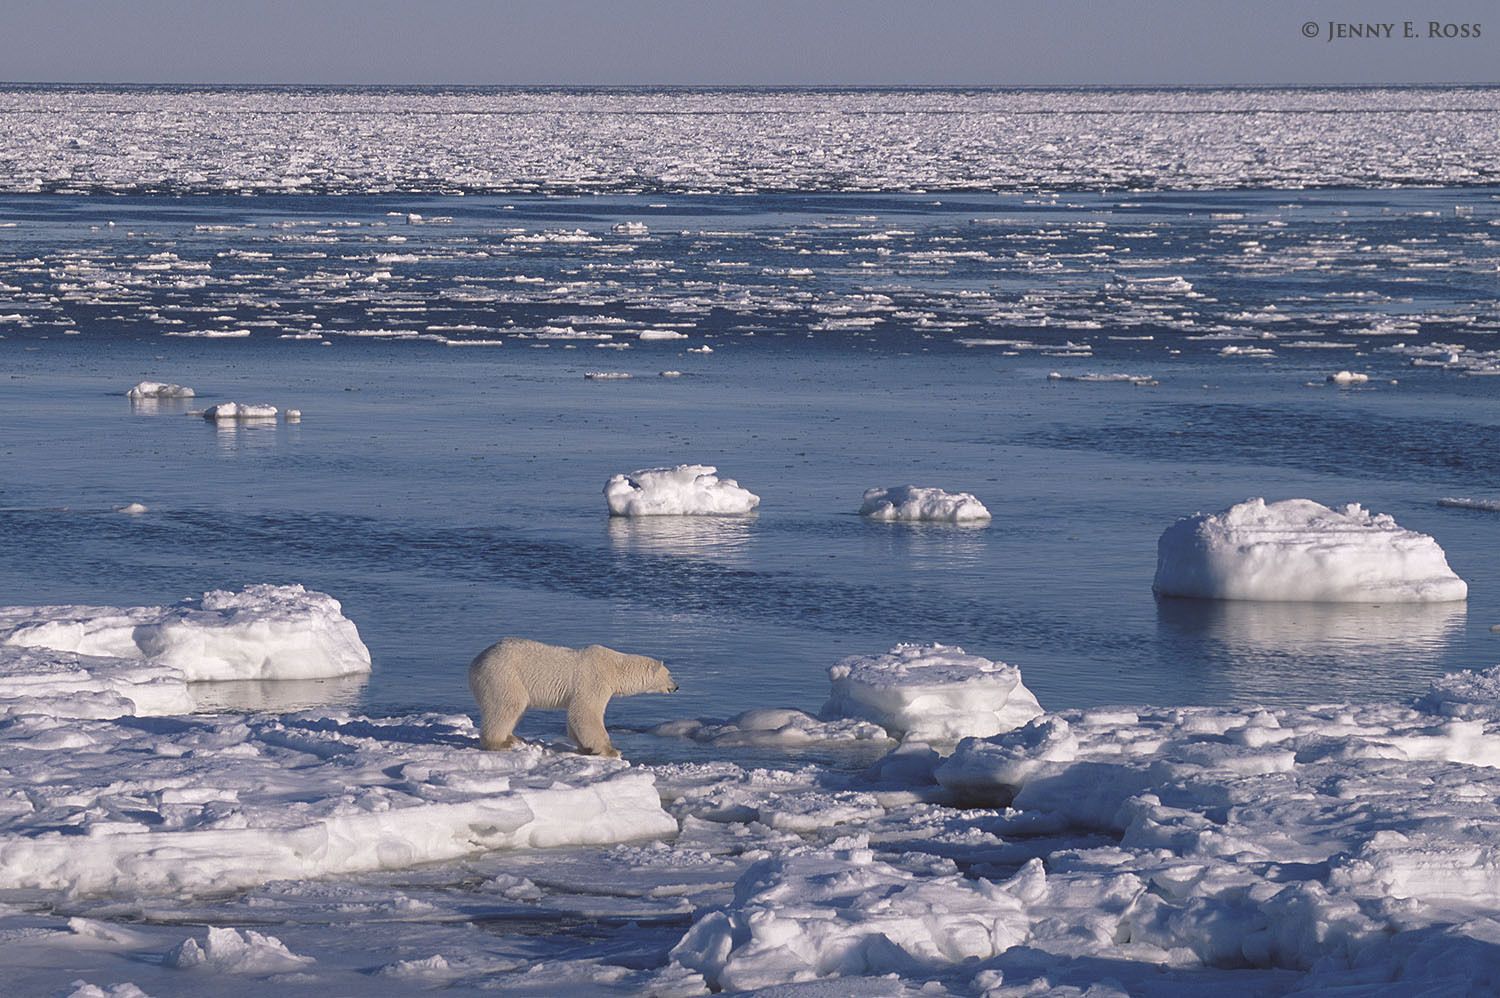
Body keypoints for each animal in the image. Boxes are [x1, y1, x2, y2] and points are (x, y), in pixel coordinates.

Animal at [468, 637, 678, 758]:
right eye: (669, 674)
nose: (676, 687)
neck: (614, 668)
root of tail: (475, 662)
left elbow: (575, 717)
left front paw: (585, 748)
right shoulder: (594, 681)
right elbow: (586, 713)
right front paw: (611, 750)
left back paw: (513, 737)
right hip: (504, 675)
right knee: (508, 705)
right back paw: (500, 742)